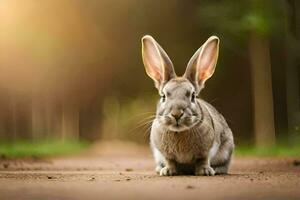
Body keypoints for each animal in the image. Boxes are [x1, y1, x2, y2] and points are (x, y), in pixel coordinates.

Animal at [141, 35, 234, 176]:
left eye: (193, 96)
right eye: (163, 96)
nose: (176, 114)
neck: (179, 132)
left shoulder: (206, 150)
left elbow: (203, 159)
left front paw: (205, 171)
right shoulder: (165, 153)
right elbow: (170, 161)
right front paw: (167, 171)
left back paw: (216, 170)